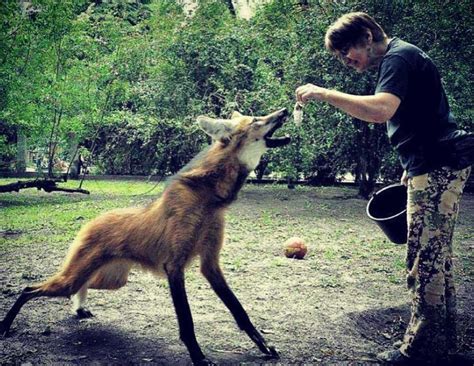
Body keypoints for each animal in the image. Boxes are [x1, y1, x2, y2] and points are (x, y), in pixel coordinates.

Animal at [0, 108, 290, 364]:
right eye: (257, 119)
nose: (285, 111)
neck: (208, 197)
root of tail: (92, 221)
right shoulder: (174, 266)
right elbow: (187, 321)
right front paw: (199, 358)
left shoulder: (210, 265)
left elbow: (240, 312)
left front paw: (264, 346)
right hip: (76, 278)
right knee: (29, 289)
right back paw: (5, 325)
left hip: (111, 279)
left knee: (81, 286)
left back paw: (79, 307)